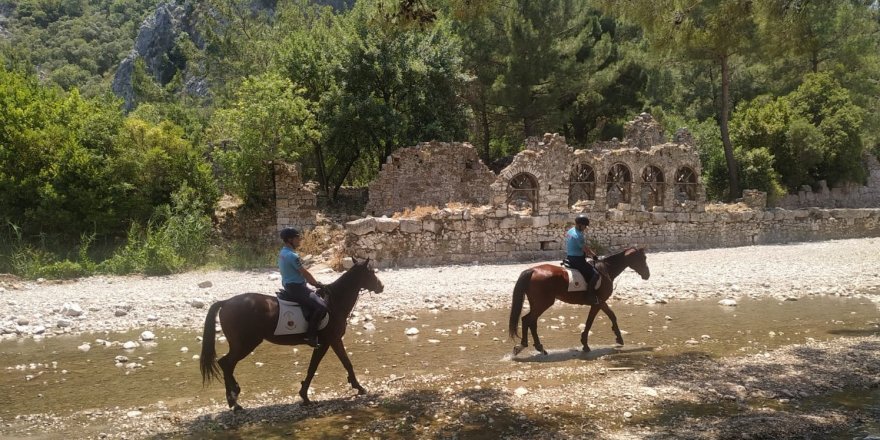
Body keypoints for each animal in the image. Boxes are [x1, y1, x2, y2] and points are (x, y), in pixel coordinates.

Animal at [201, 256, 384, 410]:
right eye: (371, 272)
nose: (381, 287)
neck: (334, 303)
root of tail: (226, 303)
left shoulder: (323, 343)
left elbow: (312, 368)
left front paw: (304, 396)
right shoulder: (333, 340)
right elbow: (346, 363)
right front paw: (359, 387)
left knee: (227, 364)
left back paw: (234, 399)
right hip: (245, 344)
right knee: (226, 363)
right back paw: (234, 399)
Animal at [506, 248, 648, 354]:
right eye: (642, 259)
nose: (647, 275)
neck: (606, 271)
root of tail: (532, 270)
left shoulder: (600, 303)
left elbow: (609, 316)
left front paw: (618, 338)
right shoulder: (599, 302)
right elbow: (593, 321)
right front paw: (586, 344)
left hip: (537, 304)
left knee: (531, 321)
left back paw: (538, 347)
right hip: (543, 303)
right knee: (528, 320)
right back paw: (525, 346)